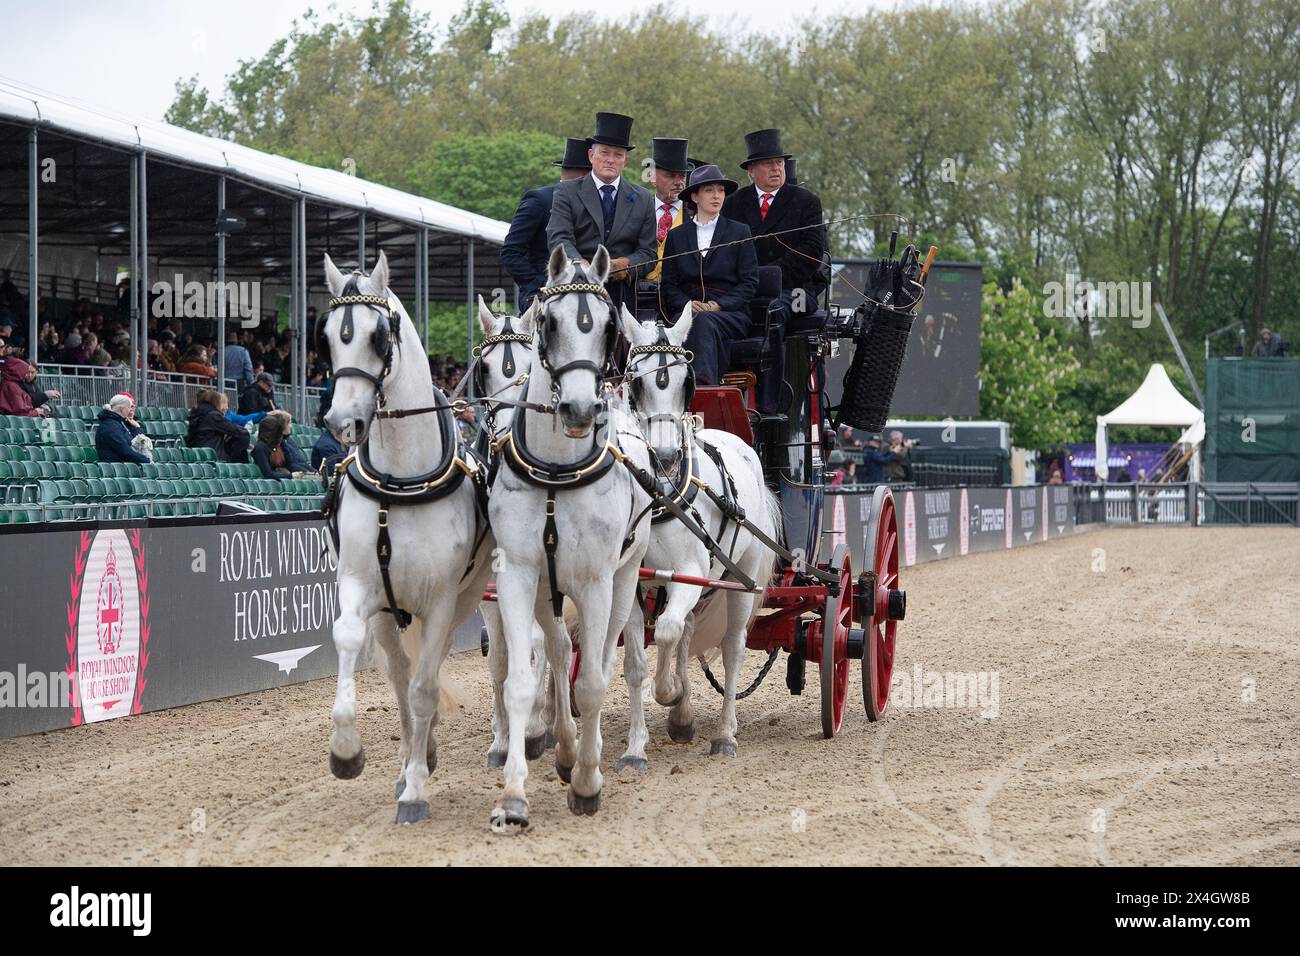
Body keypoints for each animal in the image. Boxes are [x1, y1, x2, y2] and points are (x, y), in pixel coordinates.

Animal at [319, 252, 491, 822]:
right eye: (327, 336)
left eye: (379, 336)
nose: (341, 420)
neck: (400, 481)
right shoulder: (358, 583)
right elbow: (352, 642)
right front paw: (347, 753)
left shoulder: (440, 600)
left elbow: (425, 688)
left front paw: (416, 789)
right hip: (393, 614)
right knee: (400, 671)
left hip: (464, 599)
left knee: (426, 675)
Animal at [488, 248, 650, 832]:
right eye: (550, 323)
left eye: (608, 328)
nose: (580, 411)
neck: (557, 472)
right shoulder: (518, 574)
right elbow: (520, 677)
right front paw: (514, 794)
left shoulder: (596, 581)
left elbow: (594, 682)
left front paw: (586, 781)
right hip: (547, 589)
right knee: (558, 651)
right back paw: (560, 744)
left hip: (625, 579)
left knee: (603, 658)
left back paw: (593, 753)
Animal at [613, 304, 774, 764]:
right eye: (636, 381)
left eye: (687, 382)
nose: (666, 456)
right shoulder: (633, 581)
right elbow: (636, 660)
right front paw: (636, 747)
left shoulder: (691, 570)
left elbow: (666, 631)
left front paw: (669, 693)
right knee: (685, 628)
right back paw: (683, 717)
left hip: (738, 576)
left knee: (732, 648)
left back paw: (724, 734)